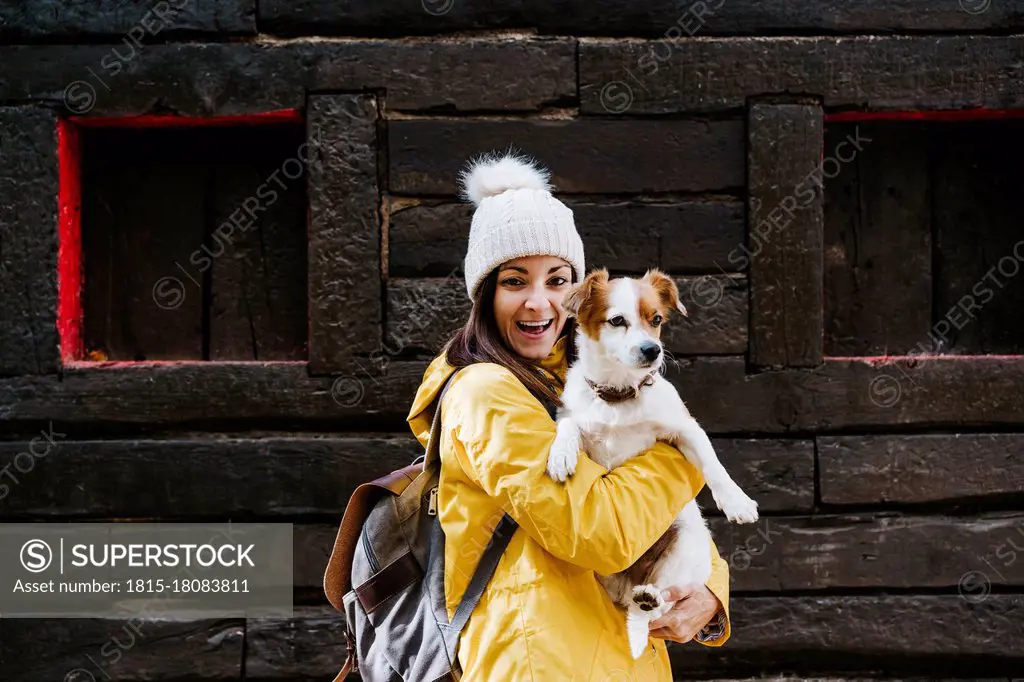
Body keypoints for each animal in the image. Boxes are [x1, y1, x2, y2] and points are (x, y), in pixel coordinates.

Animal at [544, 266, 761, 659]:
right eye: (617, 320)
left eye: (656, 320)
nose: (653, 349)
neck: (618, 396)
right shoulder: (575, 415)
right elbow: (568, 424)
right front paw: (561, 453)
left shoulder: (684, 427)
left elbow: (713, 462)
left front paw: (736, 501)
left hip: (683, 545)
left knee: (661, 606)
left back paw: (649, 598)